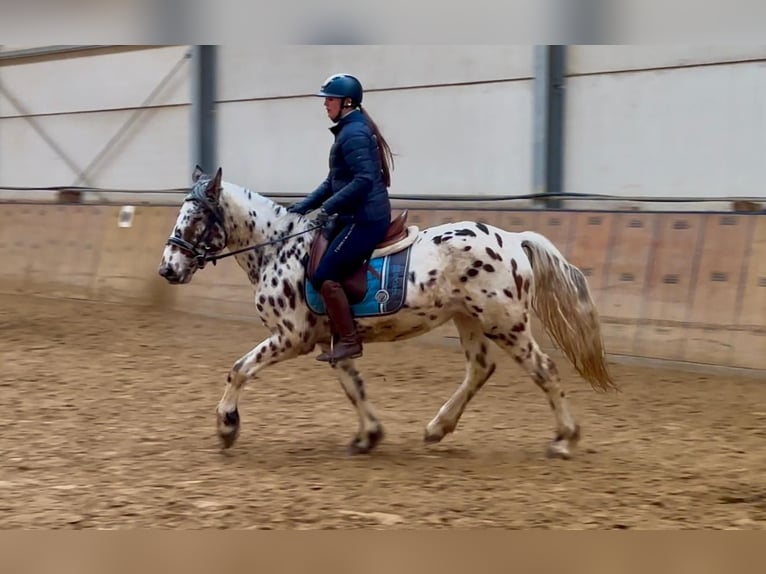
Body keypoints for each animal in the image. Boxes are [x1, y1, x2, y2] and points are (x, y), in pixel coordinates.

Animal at [156, 165, 616, 460]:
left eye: (195, 218)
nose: (167, 269)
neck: (278, 248)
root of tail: (514, 239)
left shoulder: (291, 338)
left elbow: (239, 369)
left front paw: (227, 427)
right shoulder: (331, 340)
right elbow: (353, 387)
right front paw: (369, 437)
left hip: (504, 322)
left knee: (544, 370)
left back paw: (564, 440)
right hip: (469, 318)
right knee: (480, 369)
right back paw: (437, 428)